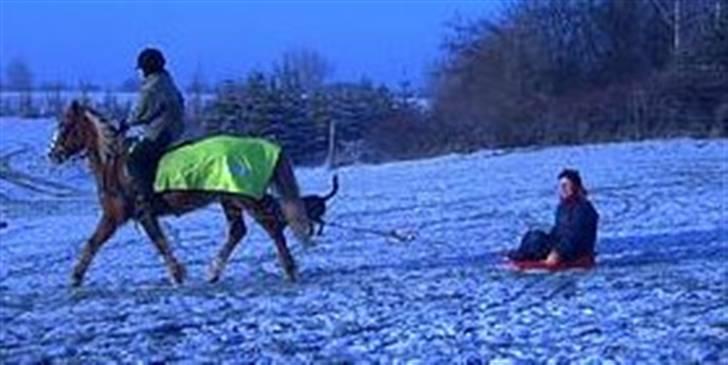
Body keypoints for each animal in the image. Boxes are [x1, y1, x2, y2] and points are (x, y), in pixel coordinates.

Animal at [48, 100, 310, 288]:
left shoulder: (124, 215)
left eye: (66, 125)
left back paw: (289, 269)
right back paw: (214, 272)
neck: (114, 164)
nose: (52, 154)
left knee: (271, 226)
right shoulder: (128, 216)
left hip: (245, 198)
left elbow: (151, 242)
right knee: (239, 231)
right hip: (230, 200)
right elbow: (101, 242)